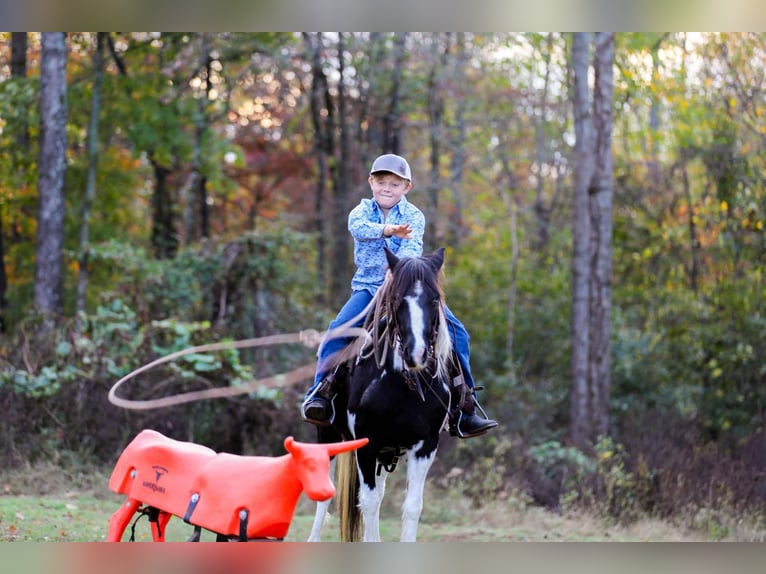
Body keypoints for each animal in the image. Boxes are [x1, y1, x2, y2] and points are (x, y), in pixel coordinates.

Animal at [106, 429, 368, 541]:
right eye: (308, 463)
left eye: (325, 464)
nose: (327, 491)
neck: (274, 481)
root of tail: (145, 435)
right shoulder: (236, 531)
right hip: (134, 494)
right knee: (118, 520)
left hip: (161, 504)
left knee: (157, 525)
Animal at [308, 247, 454, 542]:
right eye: (397, 299)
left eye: (434, 299)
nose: (416, 354)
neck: (406, 384)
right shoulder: (367, 442)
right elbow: (370, 502)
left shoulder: (425, 445)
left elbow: (412, 506)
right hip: (327, 435)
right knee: (324, 496)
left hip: (387, 452)